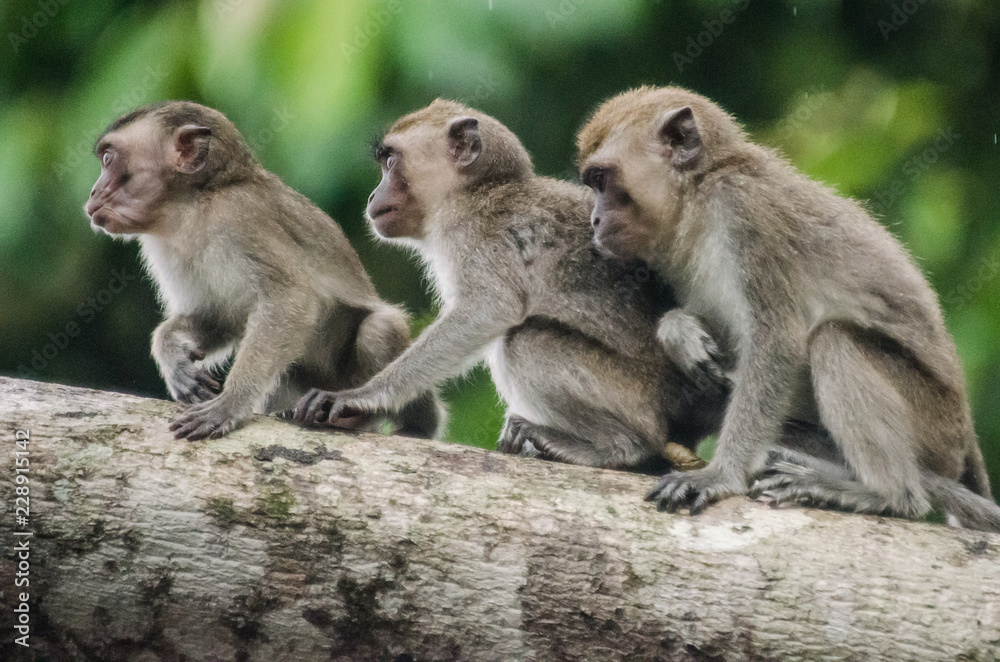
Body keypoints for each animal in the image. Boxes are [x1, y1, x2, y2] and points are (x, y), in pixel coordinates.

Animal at [84, 102, 444, 440]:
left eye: (108, 158)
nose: (92, 192)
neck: (193, 207)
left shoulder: (238, 218)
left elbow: (289, 300)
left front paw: (231, 402)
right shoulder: (163, 249)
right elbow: (219, 319)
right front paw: (172, 353)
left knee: (378, 329)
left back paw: (394, 421)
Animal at [292, 98, 732, 472]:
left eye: (390, 160)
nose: (372, 195)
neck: (475, 192)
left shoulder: (471, 238)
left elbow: (489, 310)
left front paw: (364, 398)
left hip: (641, 396)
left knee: (526, 341)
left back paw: (621, 448)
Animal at [572, 85, 1000, 536]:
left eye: (601, 180)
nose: (595, 219)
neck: (698, 198)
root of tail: (963, 435)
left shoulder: (747, 213)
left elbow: (776, 344)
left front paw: (721, 475)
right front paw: (680, 332)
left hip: (933, 422)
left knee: (835, 340)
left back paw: (885, 494)